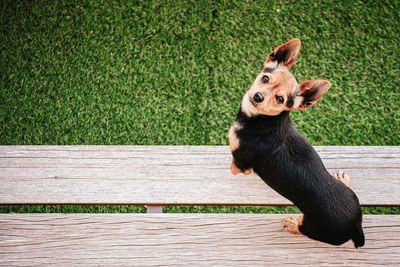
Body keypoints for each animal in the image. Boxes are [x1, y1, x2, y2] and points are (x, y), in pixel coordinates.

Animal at [227, 38, 364, 249]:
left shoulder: (242, 161)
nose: (258, 96)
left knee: (303, 230)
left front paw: (230, 169)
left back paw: (292, 225)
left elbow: (235, 167)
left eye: (280, 99)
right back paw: (343, 180)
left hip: (315, 228)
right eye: (265, 78)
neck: (263, 120)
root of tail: (356, 226)